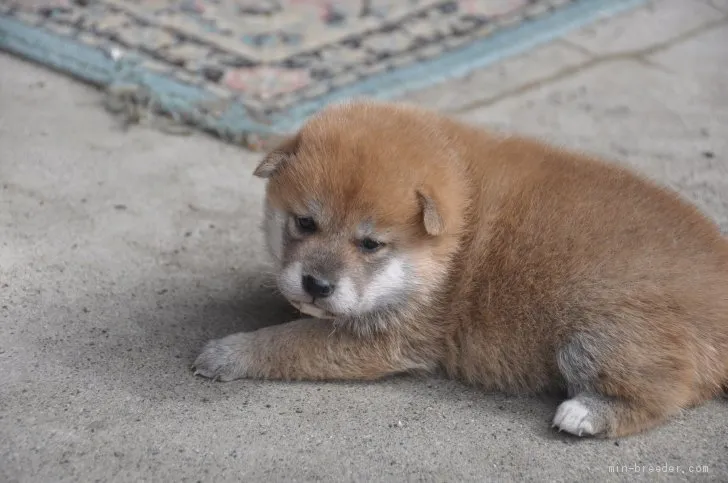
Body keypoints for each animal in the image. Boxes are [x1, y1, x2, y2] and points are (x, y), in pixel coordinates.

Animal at [193, 100, 728, 436]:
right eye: (304, 222)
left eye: (371, 244)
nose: (316, 284)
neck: (451, 244)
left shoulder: (386, 339)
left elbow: (288, 342)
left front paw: (229, 353)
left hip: (599, 335)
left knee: (666, 391)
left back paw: (585, 414)